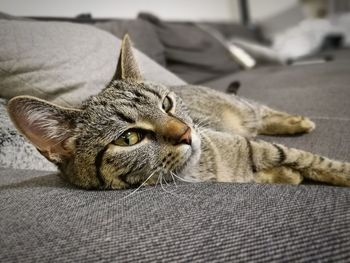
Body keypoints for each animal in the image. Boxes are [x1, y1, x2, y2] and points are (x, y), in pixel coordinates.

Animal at [6, 35, 350, 191]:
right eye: (129, 138)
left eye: (166, 104)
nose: (186, 133)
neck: (201, 172)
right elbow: (269, 172)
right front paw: (283, 175)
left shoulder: (252, 145)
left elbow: (312, 160)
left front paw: (335, 171)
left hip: (244, 111)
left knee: (262, 112)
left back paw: (296, 121)